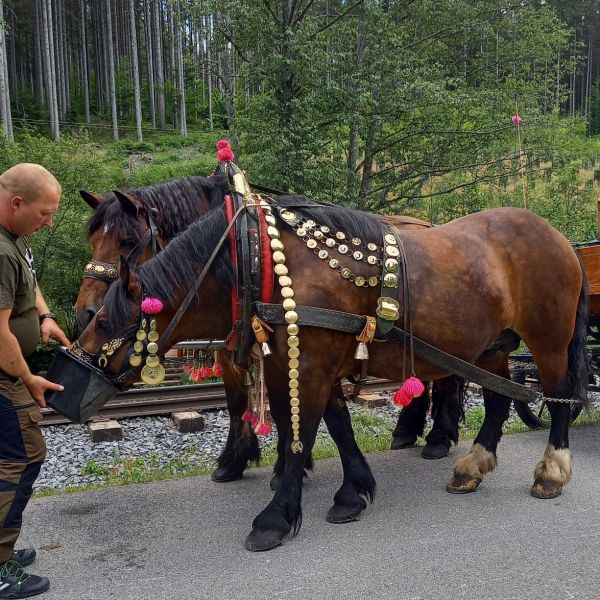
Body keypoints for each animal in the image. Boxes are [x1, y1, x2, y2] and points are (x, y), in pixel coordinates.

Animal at [75, 177, 464, 478]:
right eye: (92, 239)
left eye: (127, 241)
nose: (86, 312)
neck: (239, 252)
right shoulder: (236, 348)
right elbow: (238, 402)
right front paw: (235, 461)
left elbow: (282, 406)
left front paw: (285, 465)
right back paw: (409, 431)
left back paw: (438, 439)